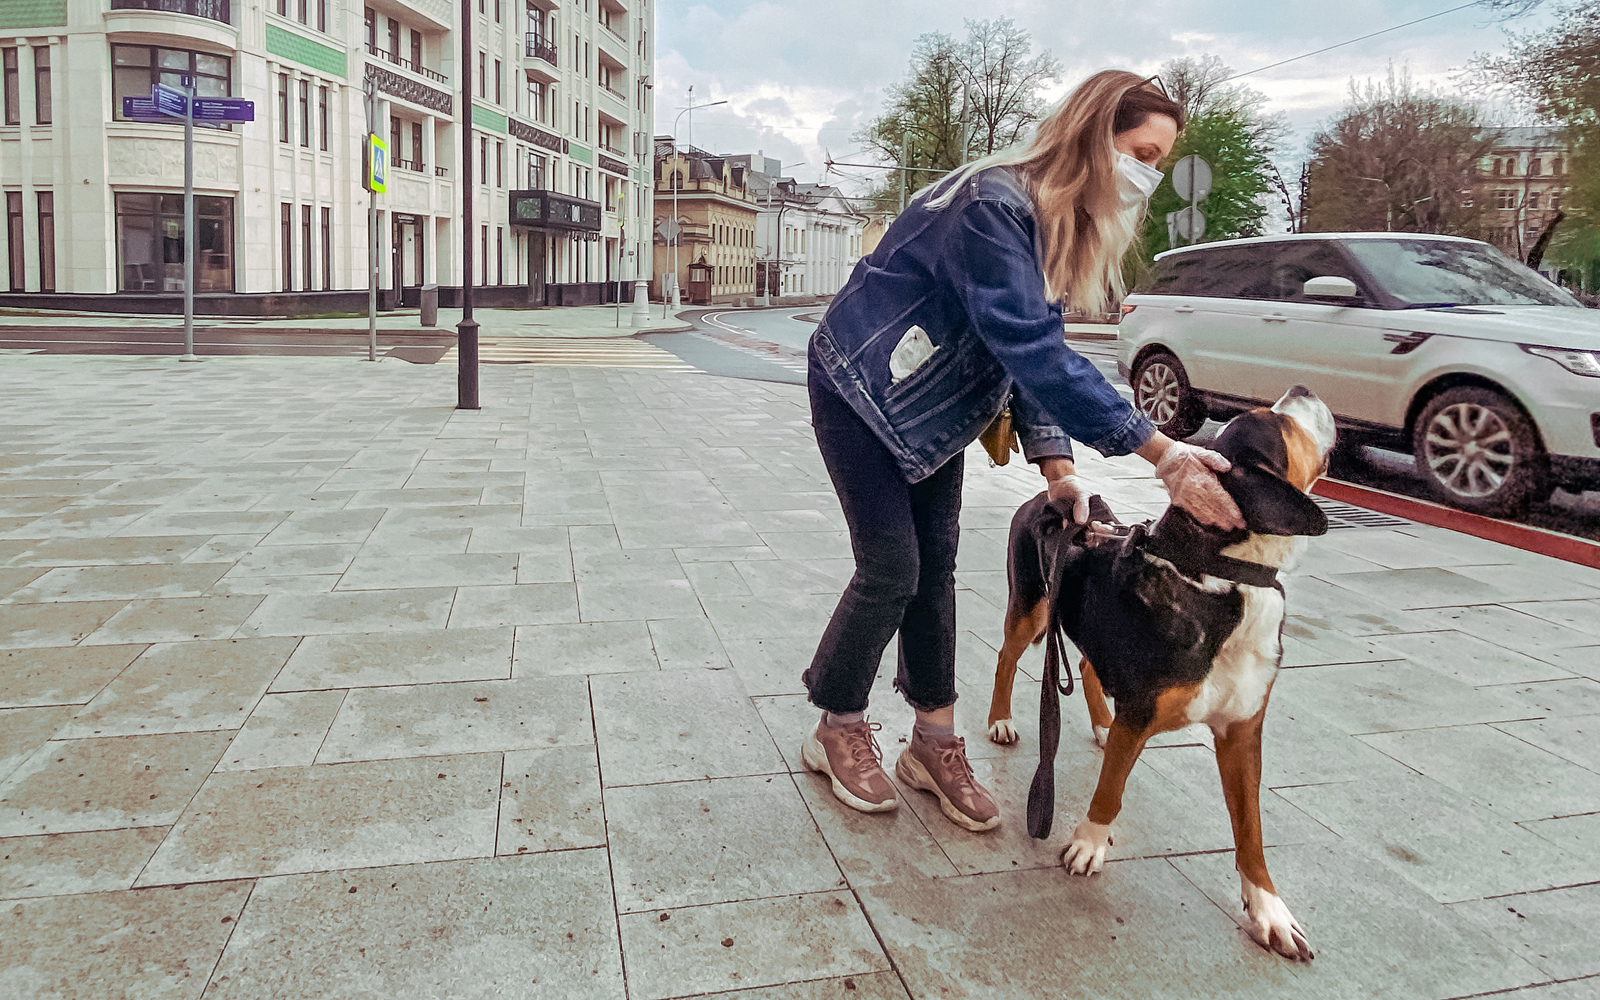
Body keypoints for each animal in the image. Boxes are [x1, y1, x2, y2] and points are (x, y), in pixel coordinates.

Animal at [985, 384, 1337, 960]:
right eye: (1277, 421)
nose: (1303, 389)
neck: (1221, 576)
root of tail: (1052, 500)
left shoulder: (1242, 730)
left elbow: (1251, 828)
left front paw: (1269, 910)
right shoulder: (1141, 713)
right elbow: (1111, 789)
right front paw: (1087, 843)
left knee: (1088, 663)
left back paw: (1102, 723)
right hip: (1032, 605)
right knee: (1007, 656)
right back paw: (1001, 720)